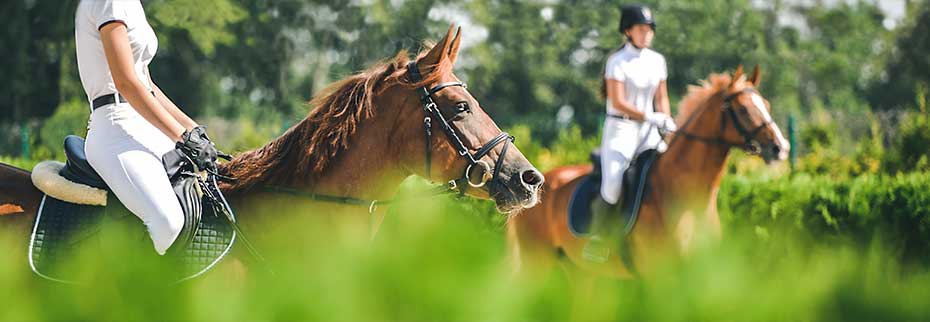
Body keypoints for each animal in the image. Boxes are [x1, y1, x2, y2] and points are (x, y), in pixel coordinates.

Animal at [512, 66, 788, 280]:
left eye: (766, 104)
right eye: (743, 109)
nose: (780, 148)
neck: (687, 198)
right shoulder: (660, 277)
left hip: (580, 273)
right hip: (537, 264)